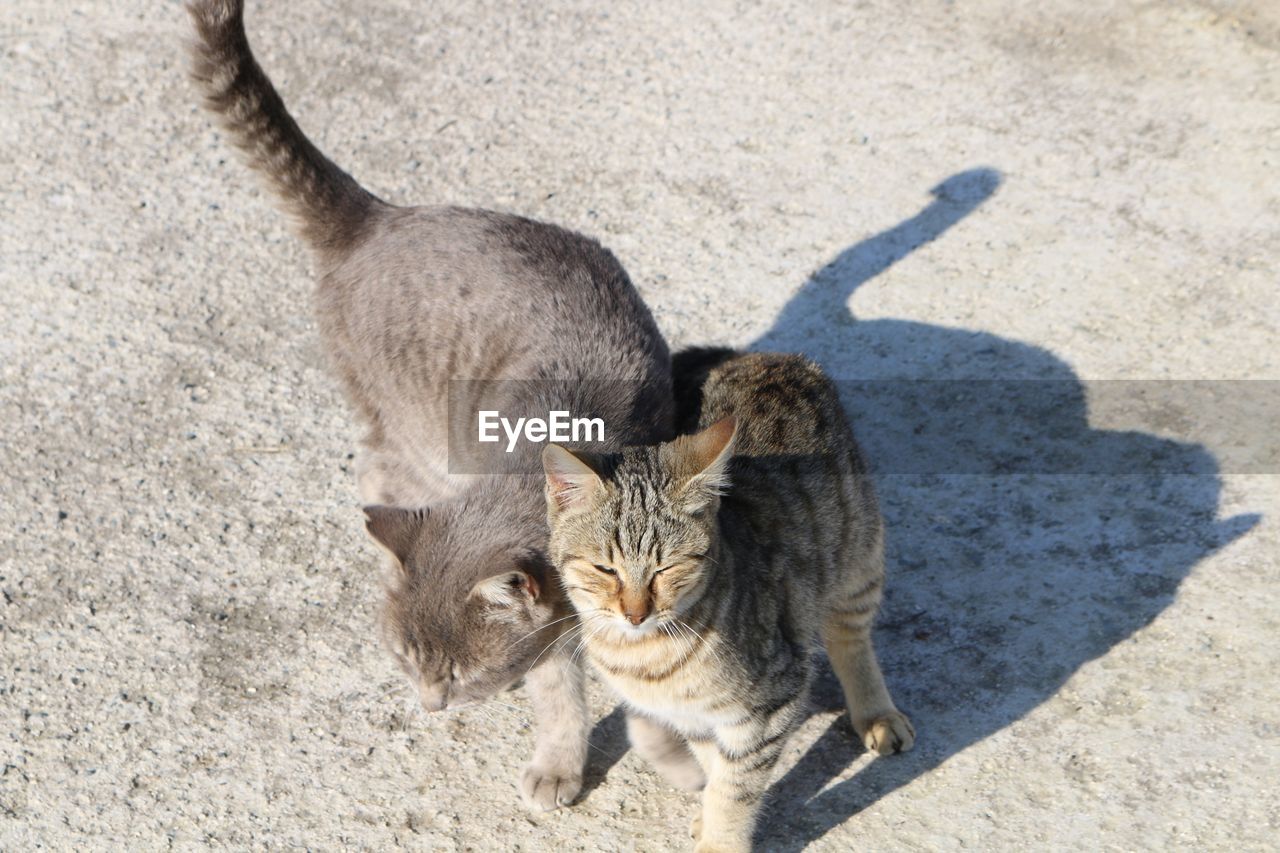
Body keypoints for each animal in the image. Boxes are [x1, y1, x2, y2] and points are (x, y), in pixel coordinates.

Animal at [186, 0, 680, 809]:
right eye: (404, 659)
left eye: (459, 673)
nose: (428, 705)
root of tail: (379, 217)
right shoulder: (553, 634)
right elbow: (562, 695)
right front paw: (560, 762)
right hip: (403, 431)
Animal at [540, 348, 911, 845]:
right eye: (605, 569)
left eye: (666, 568)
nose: (636, 613)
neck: (645, 658)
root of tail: (761, 357)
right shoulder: (695, 717)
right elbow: (713, 765)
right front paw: (706, 812)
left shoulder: (772, 700)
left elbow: (736, 790)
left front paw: (720, 838)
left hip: (858, 558)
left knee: (850, 638)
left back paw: (876, 713)